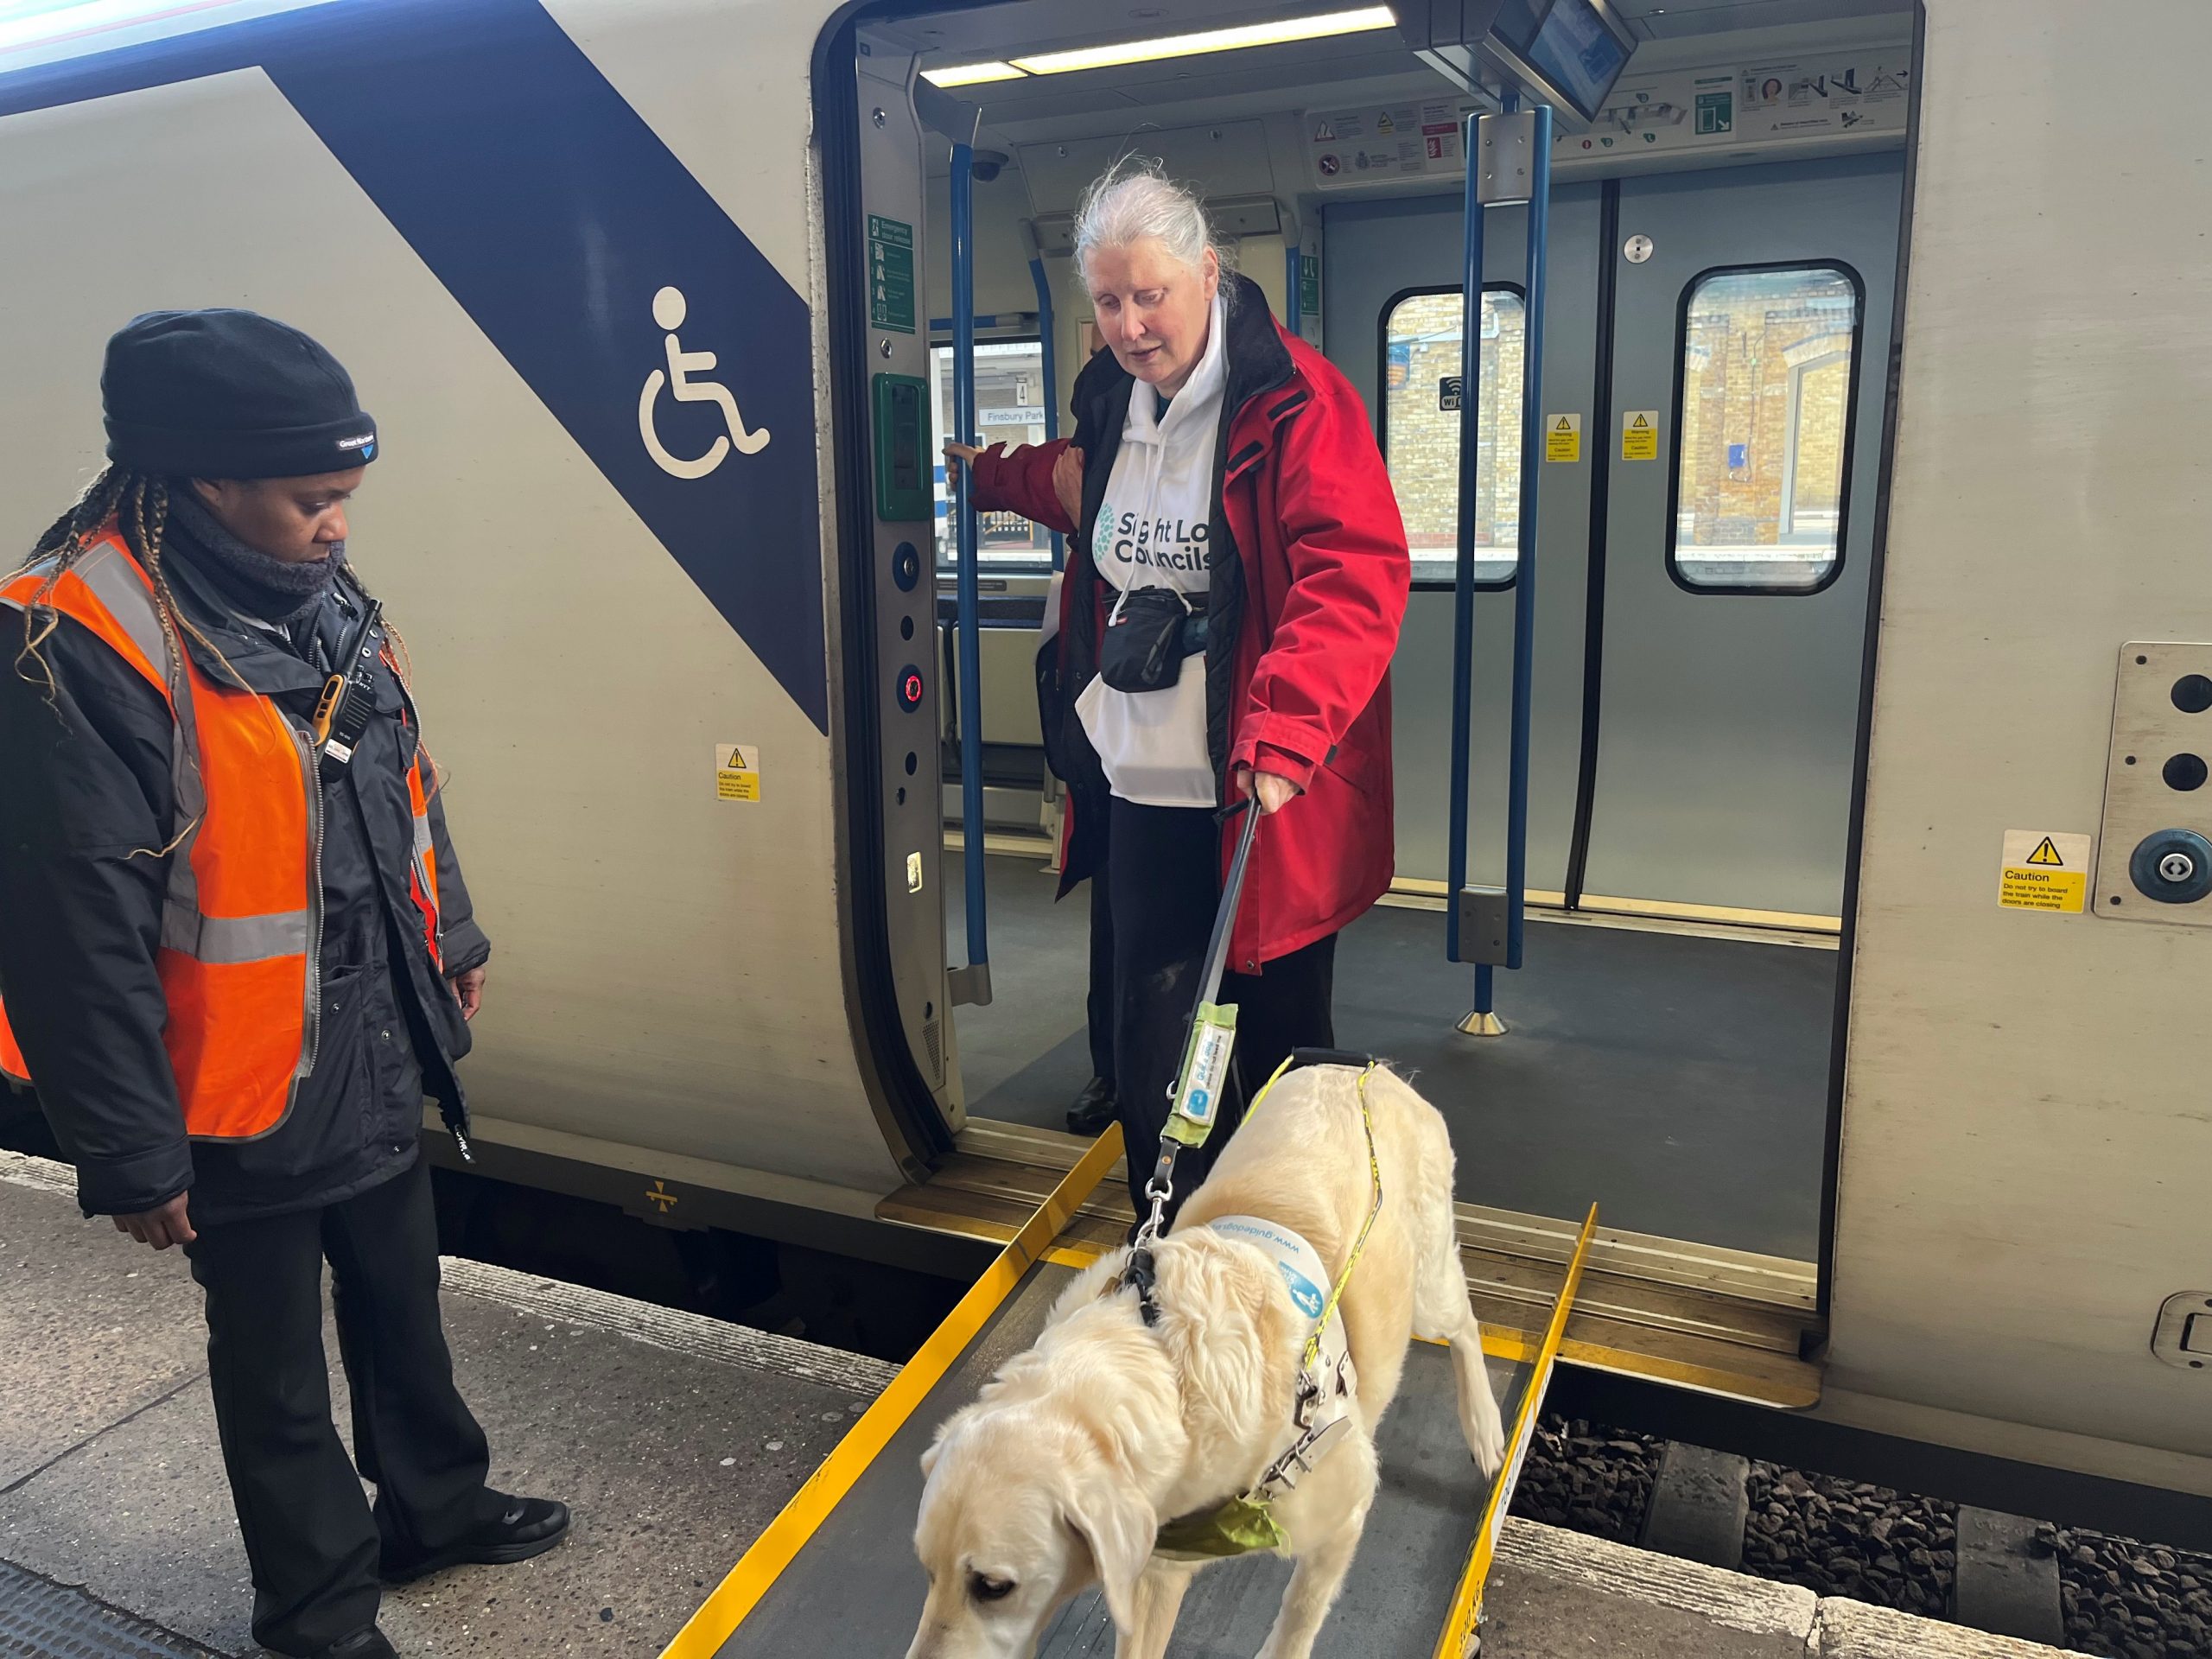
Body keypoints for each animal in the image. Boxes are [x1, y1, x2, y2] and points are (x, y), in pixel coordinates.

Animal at [898, 1065, 1503, 1659]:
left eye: (993, 1587)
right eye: (926, 1571)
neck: (1167, 1360)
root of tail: (1366, 1069)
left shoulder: (1344, 1511)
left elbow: (1297, 1623)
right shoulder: (1159, 1565)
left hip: (1427, 1291)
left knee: (1466, 1323)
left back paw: (1486, 1428)